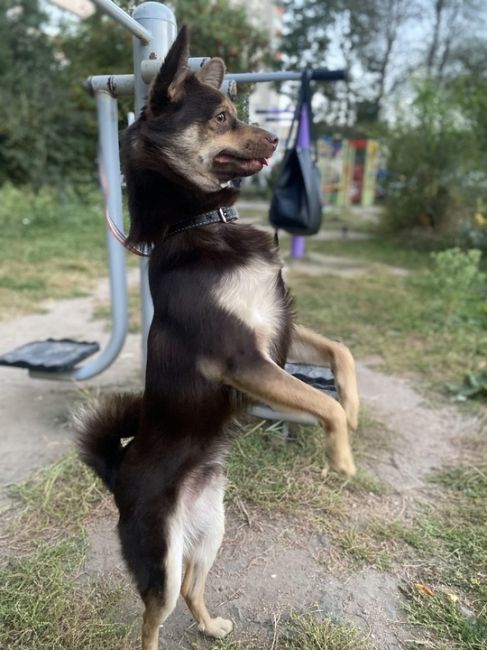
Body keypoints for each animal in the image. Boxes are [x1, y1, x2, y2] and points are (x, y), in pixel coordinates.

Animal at [77, 25, 358, 648]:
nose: (277, 138)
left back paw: (212, 626)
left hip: (209, 532)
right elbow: (319, 403)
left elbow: (341, 354)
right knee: (152, 617)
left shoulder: (278, 329)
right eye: (225, 117)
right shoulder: (241, 358)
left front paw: (353, 408)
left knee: (190, 588)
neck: (197, 223)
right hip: (159, 555)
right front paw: (343, 454)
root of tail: (118, 472)